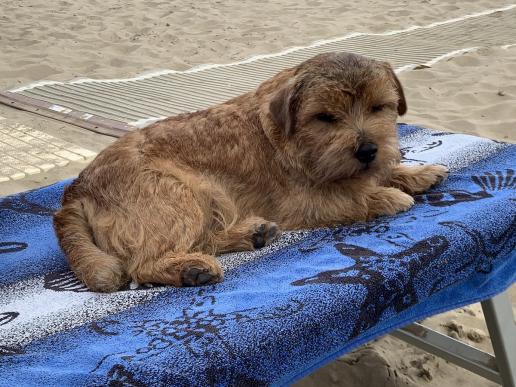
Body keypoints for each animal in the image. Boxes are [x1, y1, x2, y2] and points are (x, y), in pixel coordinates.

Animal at [53, 52, 448, 294]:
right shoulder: (305, 201)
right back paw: (191, 269)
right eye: (325, 117)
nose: (367, 150)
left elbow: (374, 174)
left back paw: (253, 234)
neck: (290, 136)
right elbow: (352, 192)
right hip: (183, 191)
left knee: (204, 237)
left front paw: (417, 172)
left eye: (379, 107)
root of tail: (75, 190)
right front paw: (387, 195)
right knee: (144, 263)